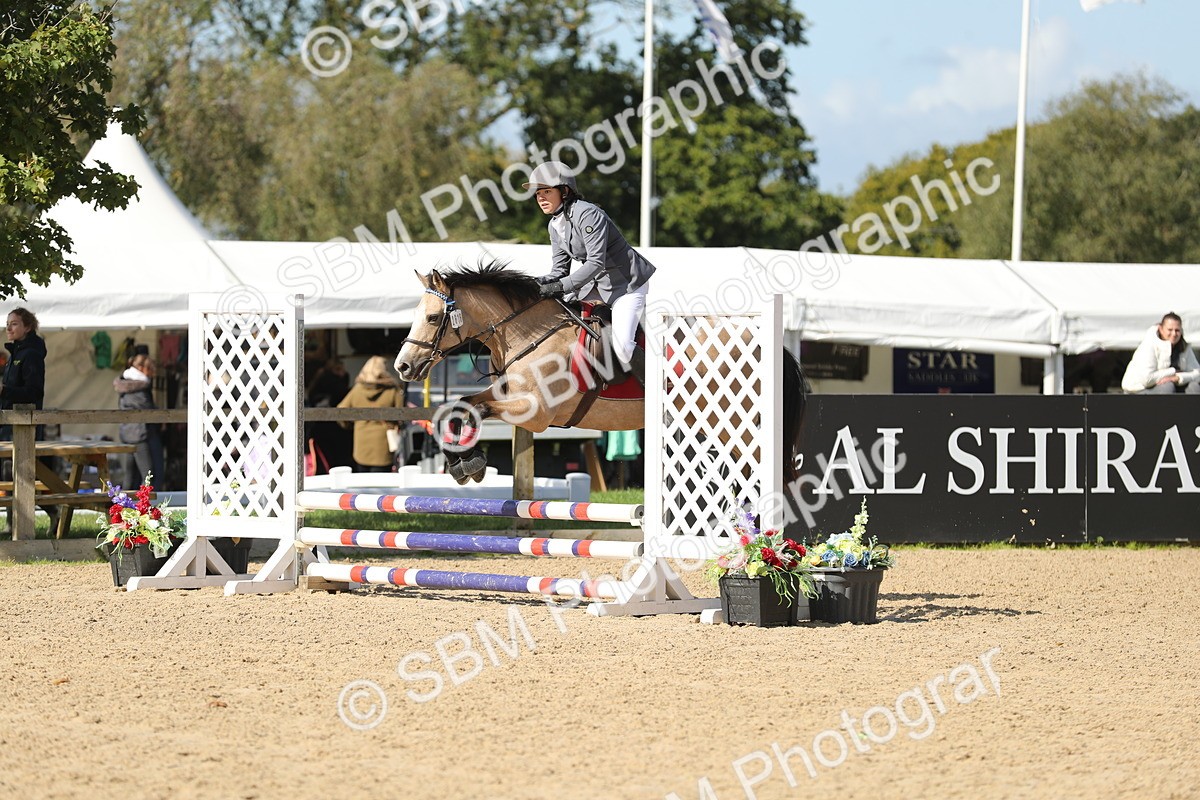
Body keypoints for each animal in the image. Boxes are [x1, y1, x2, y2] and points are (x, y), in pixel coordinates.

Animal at [394, 261, 809, 486]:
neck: (524, 333)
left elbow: (468, 409)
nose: (403, 366)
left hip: (737, 423)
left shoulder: (534, 412)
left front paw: (470, 463)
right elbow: (455, 408)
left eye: (434, 318)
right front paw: (464, 465)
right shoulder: (509, 398)